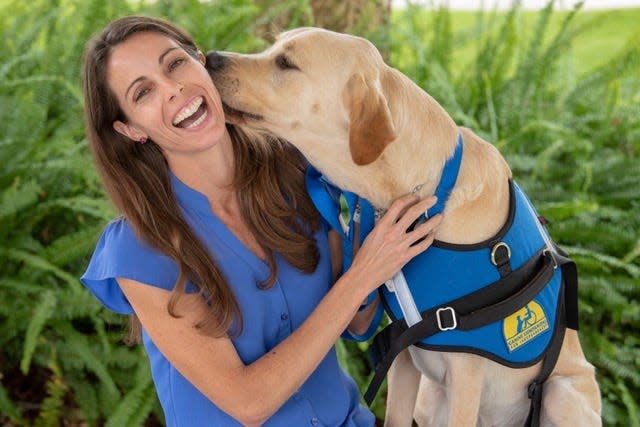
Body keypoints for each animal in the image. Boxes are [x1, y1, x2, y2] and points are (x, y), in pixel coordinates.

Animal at [208, 27, 604, 427]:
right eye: (273, 47)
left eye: (286, 62)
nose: (210, 57)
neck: (425, 192)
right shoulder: (401, 352)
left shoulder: (467, 373)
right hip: (430, 398)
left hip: (562, 395)